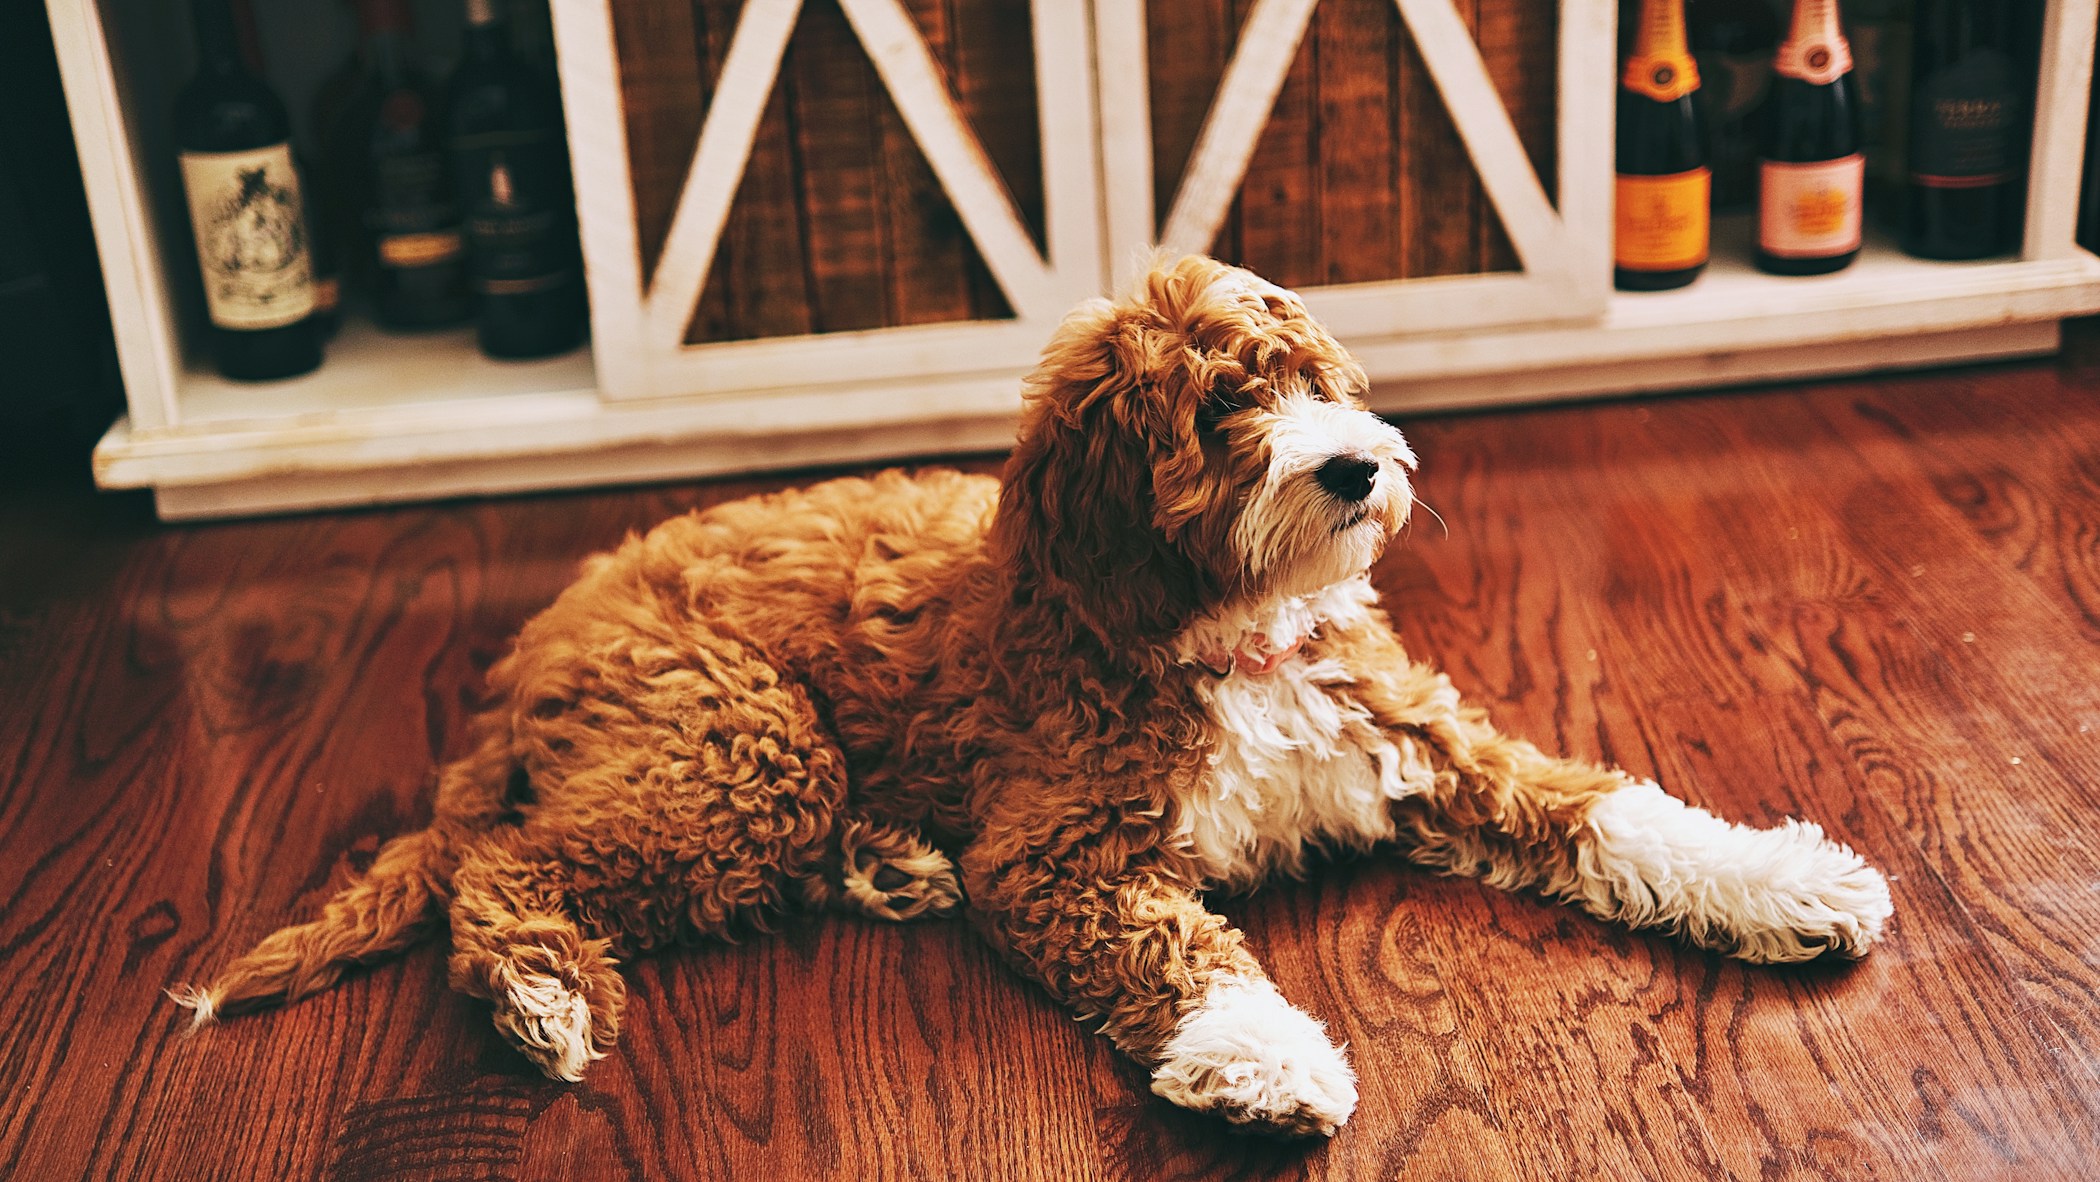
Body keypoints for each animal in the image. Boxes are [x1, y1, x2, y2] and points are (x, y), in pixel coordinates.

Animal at [172, 254, 1898, 1133]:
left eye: (1310, 376)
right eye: (1217, 417)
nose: (1356, 465)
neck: (1234, 634)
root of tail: (539, 634)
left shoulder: (1433, 738)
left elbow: (1612, 807)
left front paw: (1789, 879)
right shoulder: (1062, 849)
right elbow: (1176, 942)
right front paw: (1263, 1053)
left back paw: (886, 861)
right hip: (738, 744)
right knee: (501, 864)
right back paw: (541, 997)